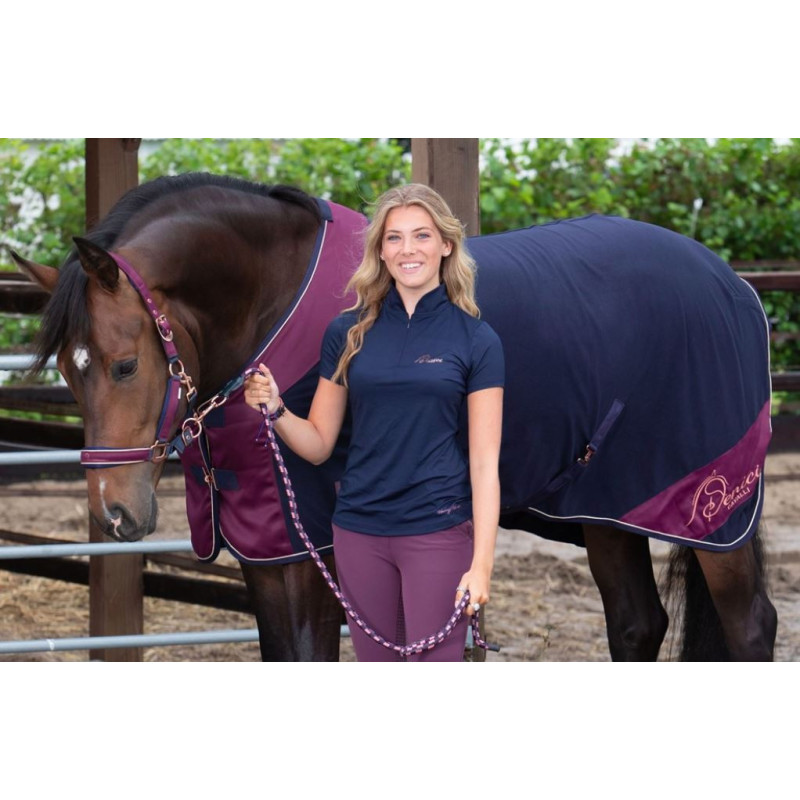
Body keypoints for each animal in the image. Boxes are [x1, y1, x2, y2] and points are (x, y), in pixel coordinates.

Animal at [14, 172, 778, 661]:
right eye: (68, 375)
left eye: (124, 366)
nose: (114, 515)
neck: (275, 303)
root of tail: (733, 285)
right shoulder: (268, 546)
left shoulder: (311, 546)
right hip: (610, 509)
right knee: (636, 625)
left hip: (710, 511)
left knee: (750, 626)